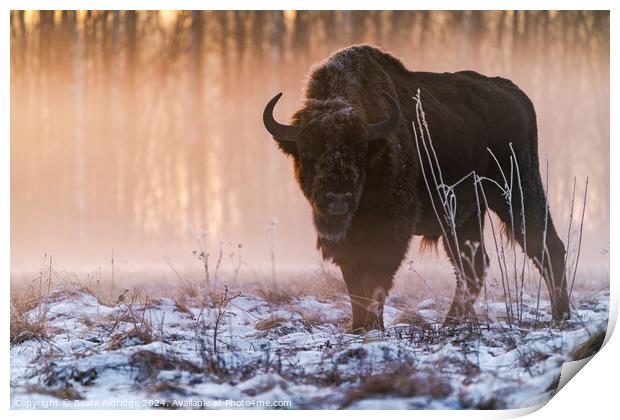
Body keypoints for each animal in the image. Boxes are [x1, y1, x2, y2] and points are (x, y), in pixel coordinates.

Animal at [262, 43, 572, 332]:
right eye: (307, 153)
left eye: (360, 152)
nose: (338, 199)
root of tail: (515, 93)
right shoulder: (348, 240)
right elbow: (354, 283)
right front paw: (358, 326)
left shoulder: (390, 227)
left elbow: (375, 279)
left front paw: (373, 326)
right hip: (465, 215)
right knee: (473, 266)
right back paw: (450, 323)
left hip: (517, 189)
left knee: (546, 246)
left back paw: (560, 316)